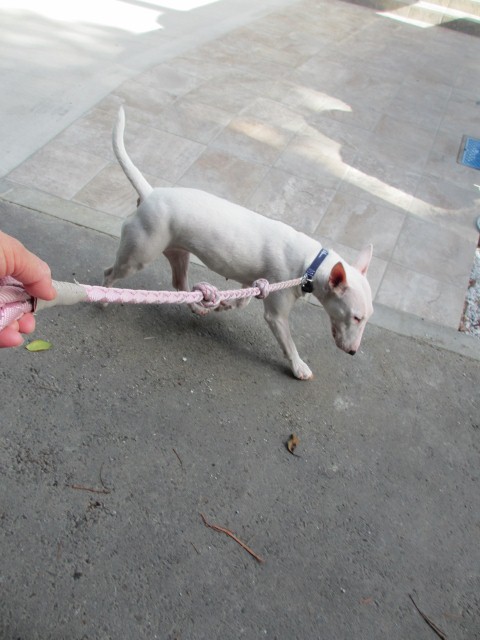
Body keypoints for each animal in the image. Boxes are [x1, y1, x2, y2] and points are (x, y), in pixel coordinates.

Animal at [104, 107, 374, 379]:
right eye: (356, 317)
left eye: (366, 318)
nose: (353, 352)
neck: (311, 264)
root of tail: (150, 193)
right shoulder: (276, 314)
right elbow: (288, 343)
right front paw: (299, 366)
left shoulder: (255, 281)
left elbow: (243, 300)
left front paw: (225, 304)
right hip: (138, 255)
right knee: (111, 272)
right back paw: (105, 297)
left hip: (178, 252)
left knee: (179, 284)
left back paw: (198, 307)